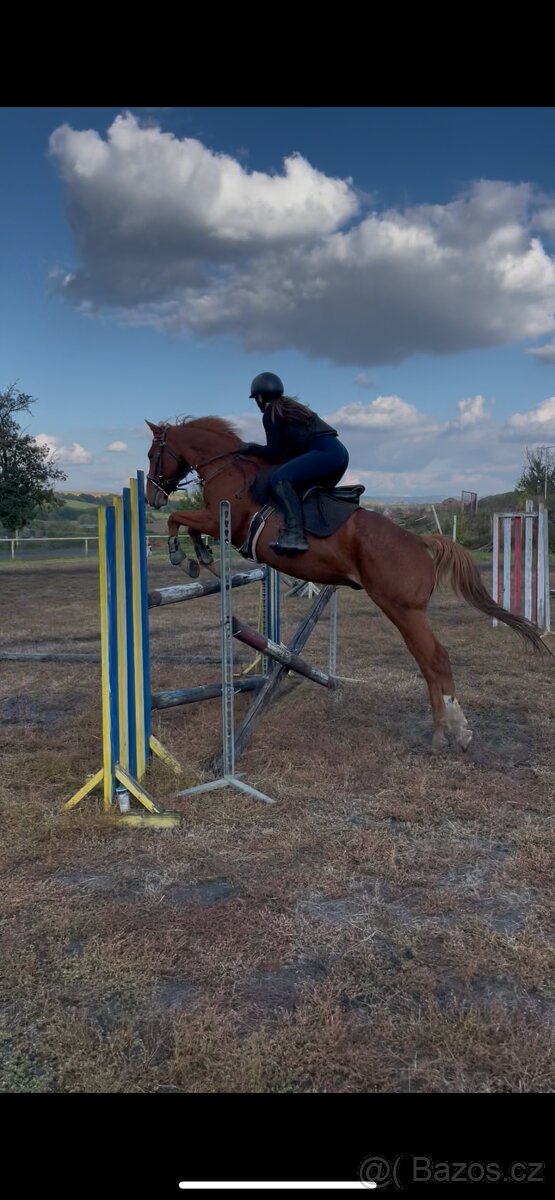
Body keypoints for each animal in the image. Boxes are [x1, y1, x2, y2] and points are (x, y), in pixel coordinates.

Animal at [145, 417, 546, 752]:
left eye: (152, 454)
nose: (152, 497)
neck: (228, 469)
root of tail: (418, 541)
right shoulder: (217, 522)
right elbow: (188, 526)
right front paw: (201, 557)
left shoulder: (222, 519)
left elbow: (179, 520)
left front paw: (184, 558)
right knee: (429, 661)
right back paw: (451, 730)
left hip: (402, 609)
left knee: (434, 660)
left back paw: (447, 732)